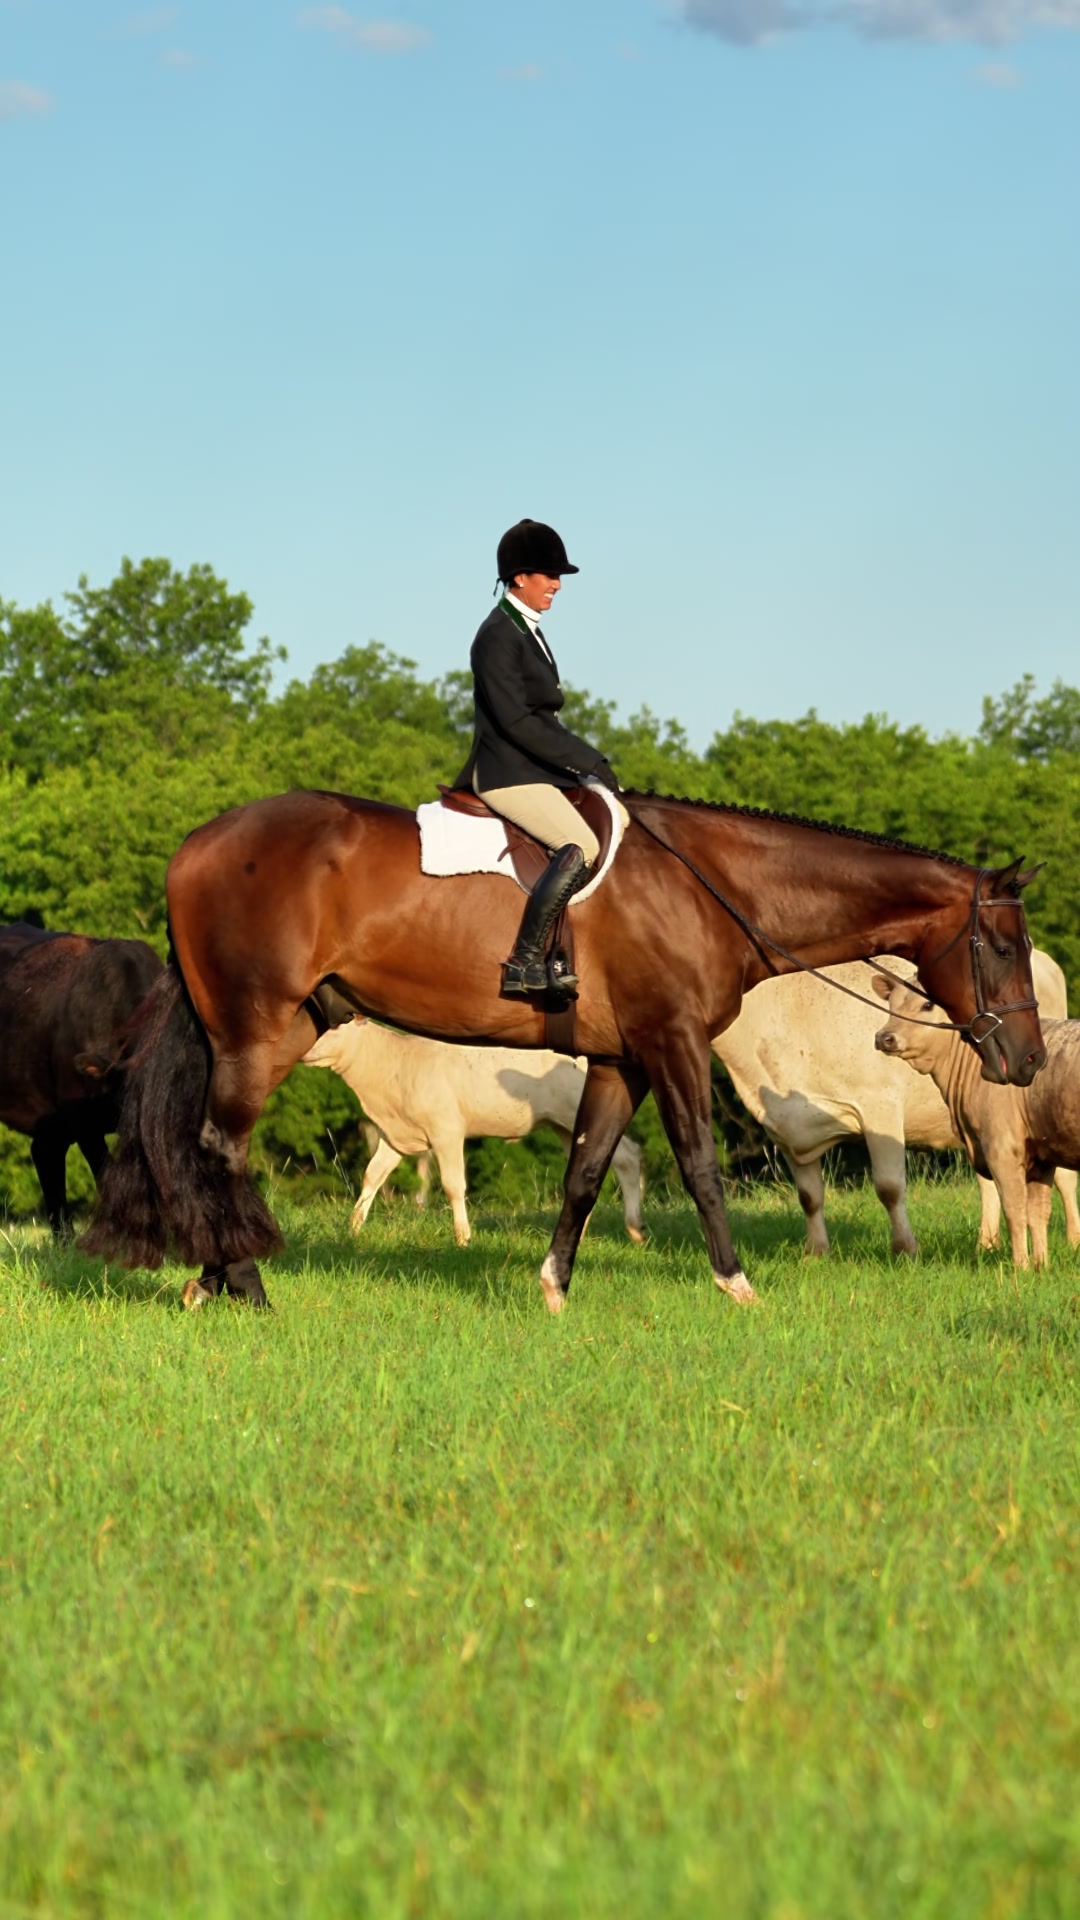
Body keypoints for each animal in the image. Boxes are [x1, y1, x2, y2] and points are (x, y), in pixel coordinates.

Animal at [79, 788, 1046, 1310]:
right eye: (1001, 946)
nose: (1030, 1062)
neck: (712, 888)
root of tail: (198, 844)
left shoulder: (622, 1058)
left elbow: (585, 1169)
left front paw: (552, 1286)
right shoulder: (672, 1040)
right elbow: (699, 1162)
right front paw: (736, 1284)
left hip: (290, 1026)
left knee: (206, 1147)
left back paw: (207, 1279)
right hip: (255, 1029)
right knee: (218, 1147)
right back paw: (241, 1283)